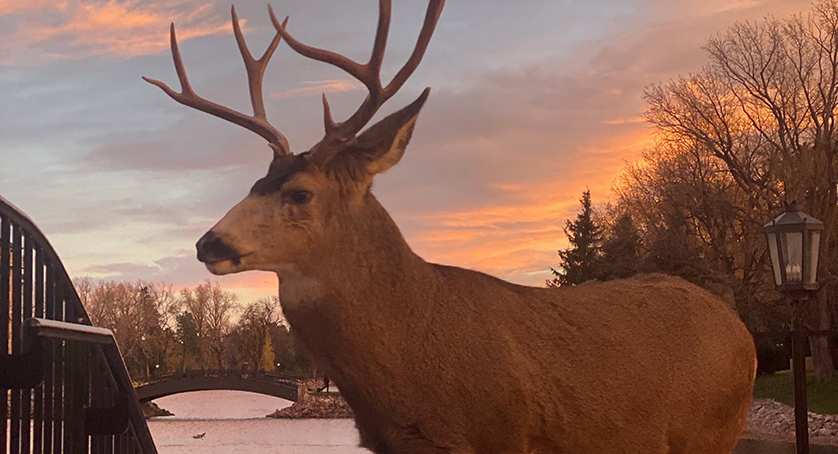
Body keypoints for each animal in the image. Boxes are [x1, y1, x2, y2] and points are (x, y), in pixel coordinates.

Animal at [144, 2, 757, 453]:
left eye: (299, 192)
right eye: (253, 183)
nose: (208, 242)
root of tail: (741, 333)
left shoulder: (505, 436)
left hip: (711, 432)